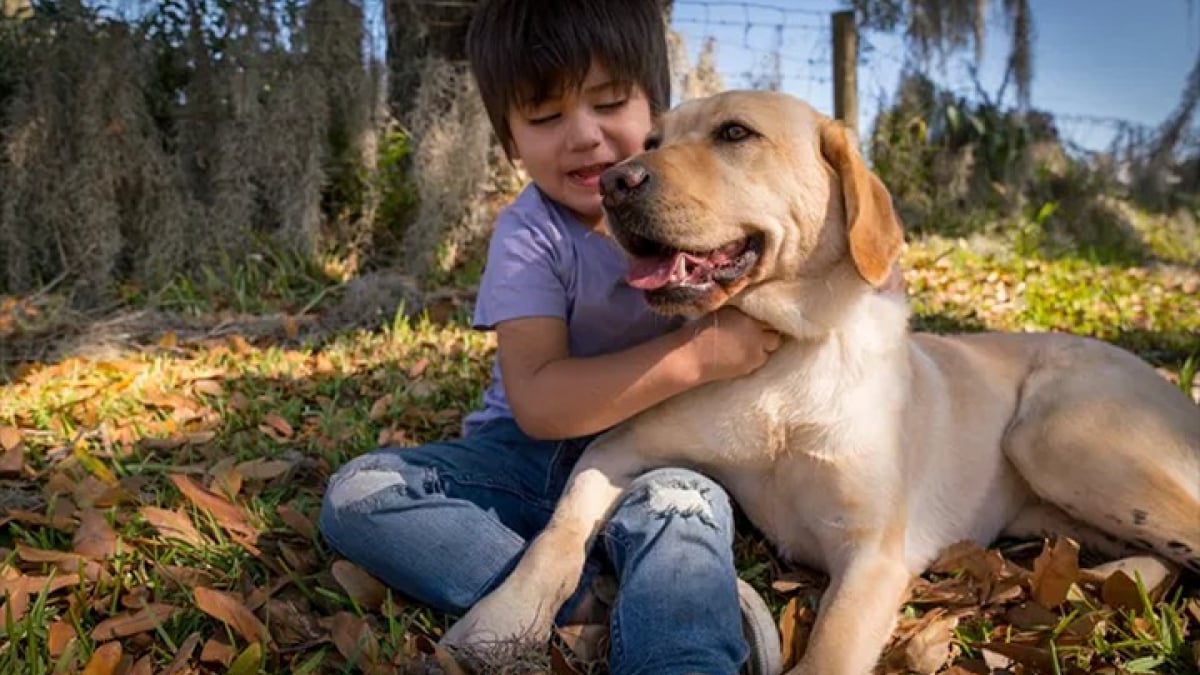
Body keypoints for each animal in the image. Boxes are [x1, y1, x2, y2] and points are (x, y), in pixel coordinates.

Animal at [444, 90, 1200, 672]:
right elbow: (559, 530)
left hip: (1054, 436)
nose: (614, 182)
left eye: (735, 133)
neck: (789, 363)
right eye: (652, 139)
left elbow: (832, 648)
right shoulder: (616, 447)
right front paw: (498, 618)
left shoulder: (873, 556)